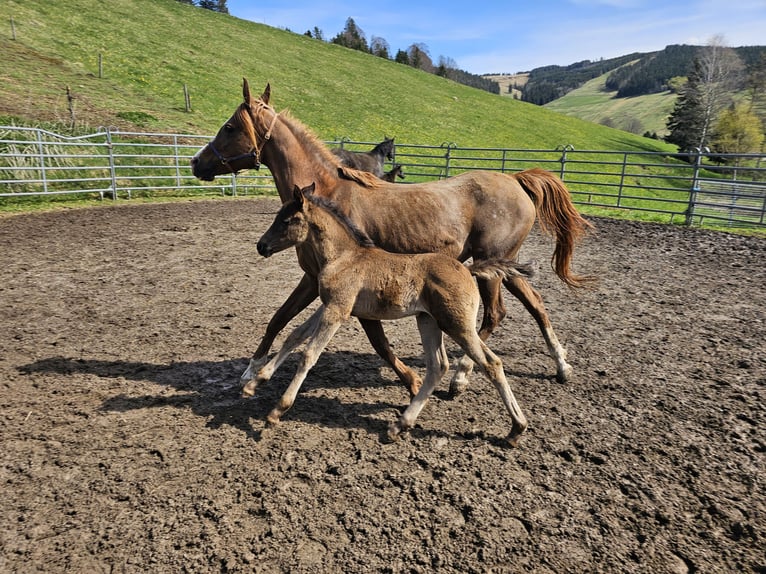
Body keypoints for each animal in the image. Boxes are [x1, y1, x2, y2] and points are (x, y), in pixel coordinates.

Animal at [190, 79, 592, 399]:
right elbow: (279, 319)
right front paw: (250, 370)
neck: (328, 196)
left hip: (489, 266)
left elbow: (377, 340)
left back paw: (461, 378)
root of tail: (516, 179)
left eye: (229, 127)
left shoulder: (334, 282)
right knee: (536, 304)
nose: (196, 162)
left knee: (494, 315)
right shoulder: (314, 279)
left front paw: (413, 381)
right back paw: (561, 366)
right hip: (504, 265)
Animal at [249, 182, 536, 446]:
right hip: (429, 321)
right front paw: (255, 382)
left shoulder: (338, 309)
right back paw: (400, 425)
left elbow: (309, 354)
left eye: (286, 221)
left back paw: (516, 429)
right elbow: (294, 336)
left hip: (457, 325)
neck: (344, 256)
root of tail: (467, 270)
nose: (261, 246)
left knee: (491, 363)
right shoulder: (329, 305)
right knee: (438, 365)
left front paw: (276, 411)